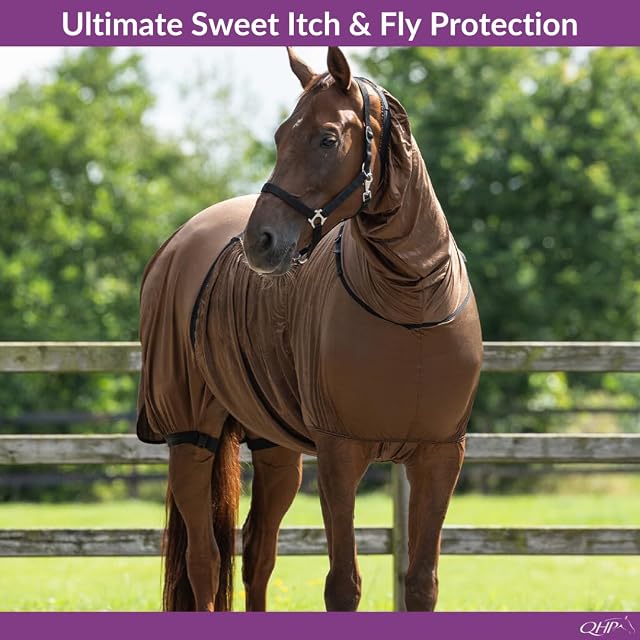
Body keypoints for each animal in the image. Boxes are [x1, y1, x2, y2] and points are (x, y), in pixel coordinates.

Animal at [136, 47, 483, 612]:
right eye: (280, 136)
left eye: (327, 138)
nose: (260, 241)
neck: (409, 299)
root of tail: (179, 241)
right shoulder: (340, 454)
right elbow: (342, 585)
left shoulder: (439, 456)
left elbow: (420, 583)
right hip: (189, 434)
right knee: (205, 561)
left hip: (276, 450)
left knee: (257, 555)